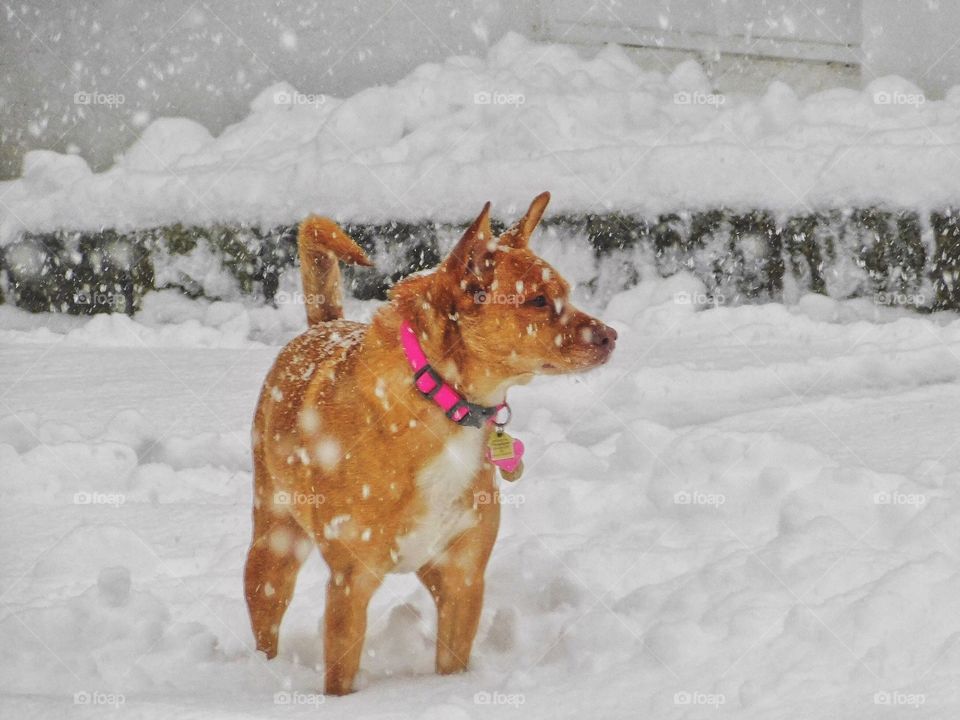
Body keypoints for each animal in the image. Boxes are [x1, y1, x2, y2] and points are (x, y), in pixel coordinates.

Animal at [244, 194, 620, 696]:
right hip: (274, 549)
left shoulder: (463, 575)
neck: (444, 403)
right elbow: (340, 677)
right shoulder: (351, 581)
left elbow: (452, 661)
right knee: (266, 622)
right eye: (538, 301)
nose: (611, 336)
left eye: (568, 292)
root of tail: (324, 324)